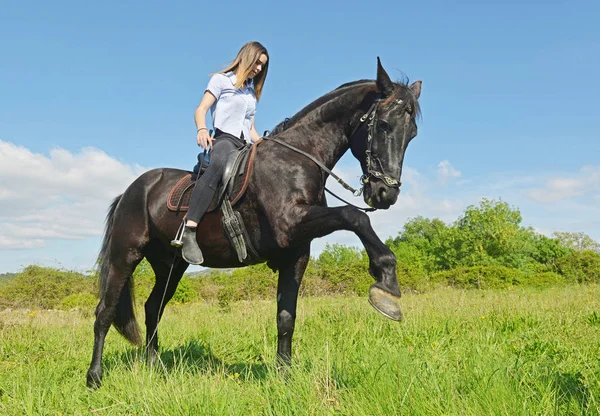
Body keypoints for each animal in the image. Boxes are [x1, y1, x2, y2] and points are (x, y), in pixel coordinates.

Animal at [86, 57, 422, 386]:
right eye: (383, 124)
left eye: (413, 134)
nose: (386, 193)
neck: (297, 160)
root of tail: (131, 190)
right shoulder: (291, 224)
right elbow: (355, 217)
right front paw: (386, 282)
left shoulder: (295, 254)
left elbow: (286, 317)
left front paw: (284, 377)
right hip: (124, 256)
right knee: (105, 312)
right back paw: (95, 377)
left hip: (170, 266)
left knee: (153, 308)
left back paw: (155, 368)